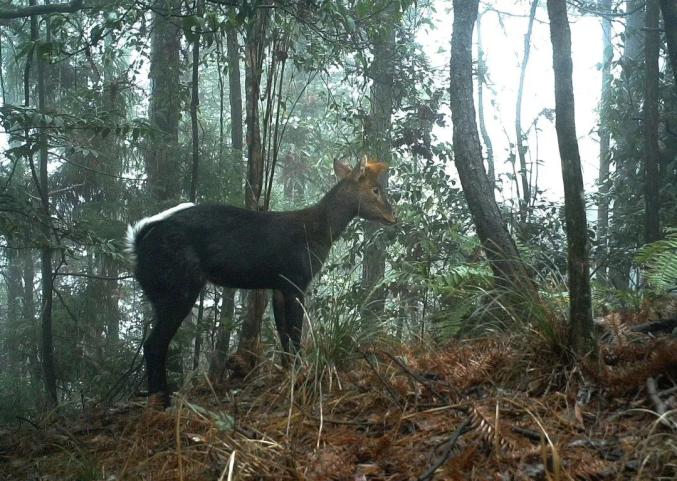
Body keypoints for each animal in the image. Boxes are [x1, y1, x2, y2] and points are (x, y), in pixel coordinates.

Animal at [127, 156, 396, 404]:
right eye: (375, 189)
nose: (393, 216)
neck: (320, 232)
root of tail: (137, 244)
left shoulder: (278, 286)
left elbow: (284, 335)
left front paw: (287, 374)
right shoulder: (296, 279)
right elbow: (295, 333)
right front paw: (301, 374)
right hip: (178, 287)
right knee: (154, 345)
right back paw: (162, 402)